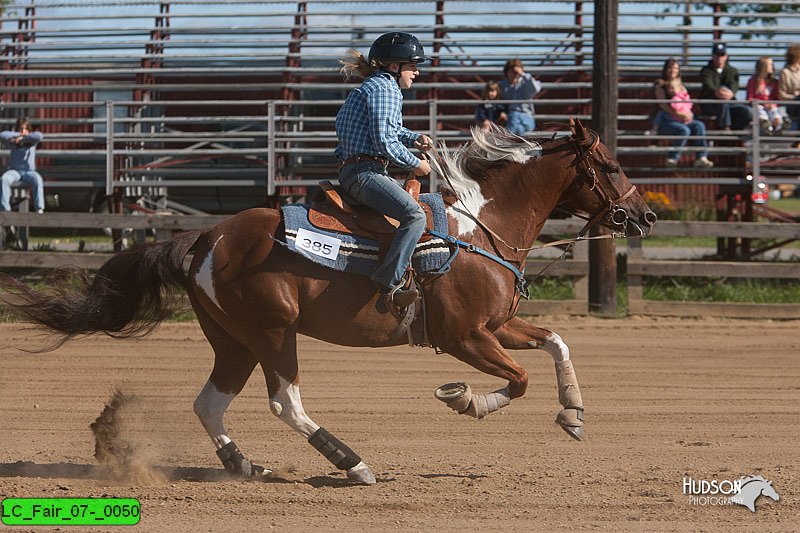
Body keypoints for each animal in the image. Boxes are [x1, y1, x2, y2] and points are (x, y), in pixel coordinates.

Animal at [0, 118, 656, 484]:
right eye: (611, 165)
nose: (646, 215)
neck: (482, 229)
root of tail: (207, 236)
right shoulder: (464, 337)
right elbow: (517, 380)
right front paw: (464, 399)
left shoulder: (500, 326)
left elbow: (556, 342)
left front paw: (572, 412)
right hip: (273, 333)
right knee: (285, 401)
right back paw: (353, 464)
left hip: (233, 339)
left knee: (210, 403)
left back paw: (246, 467)